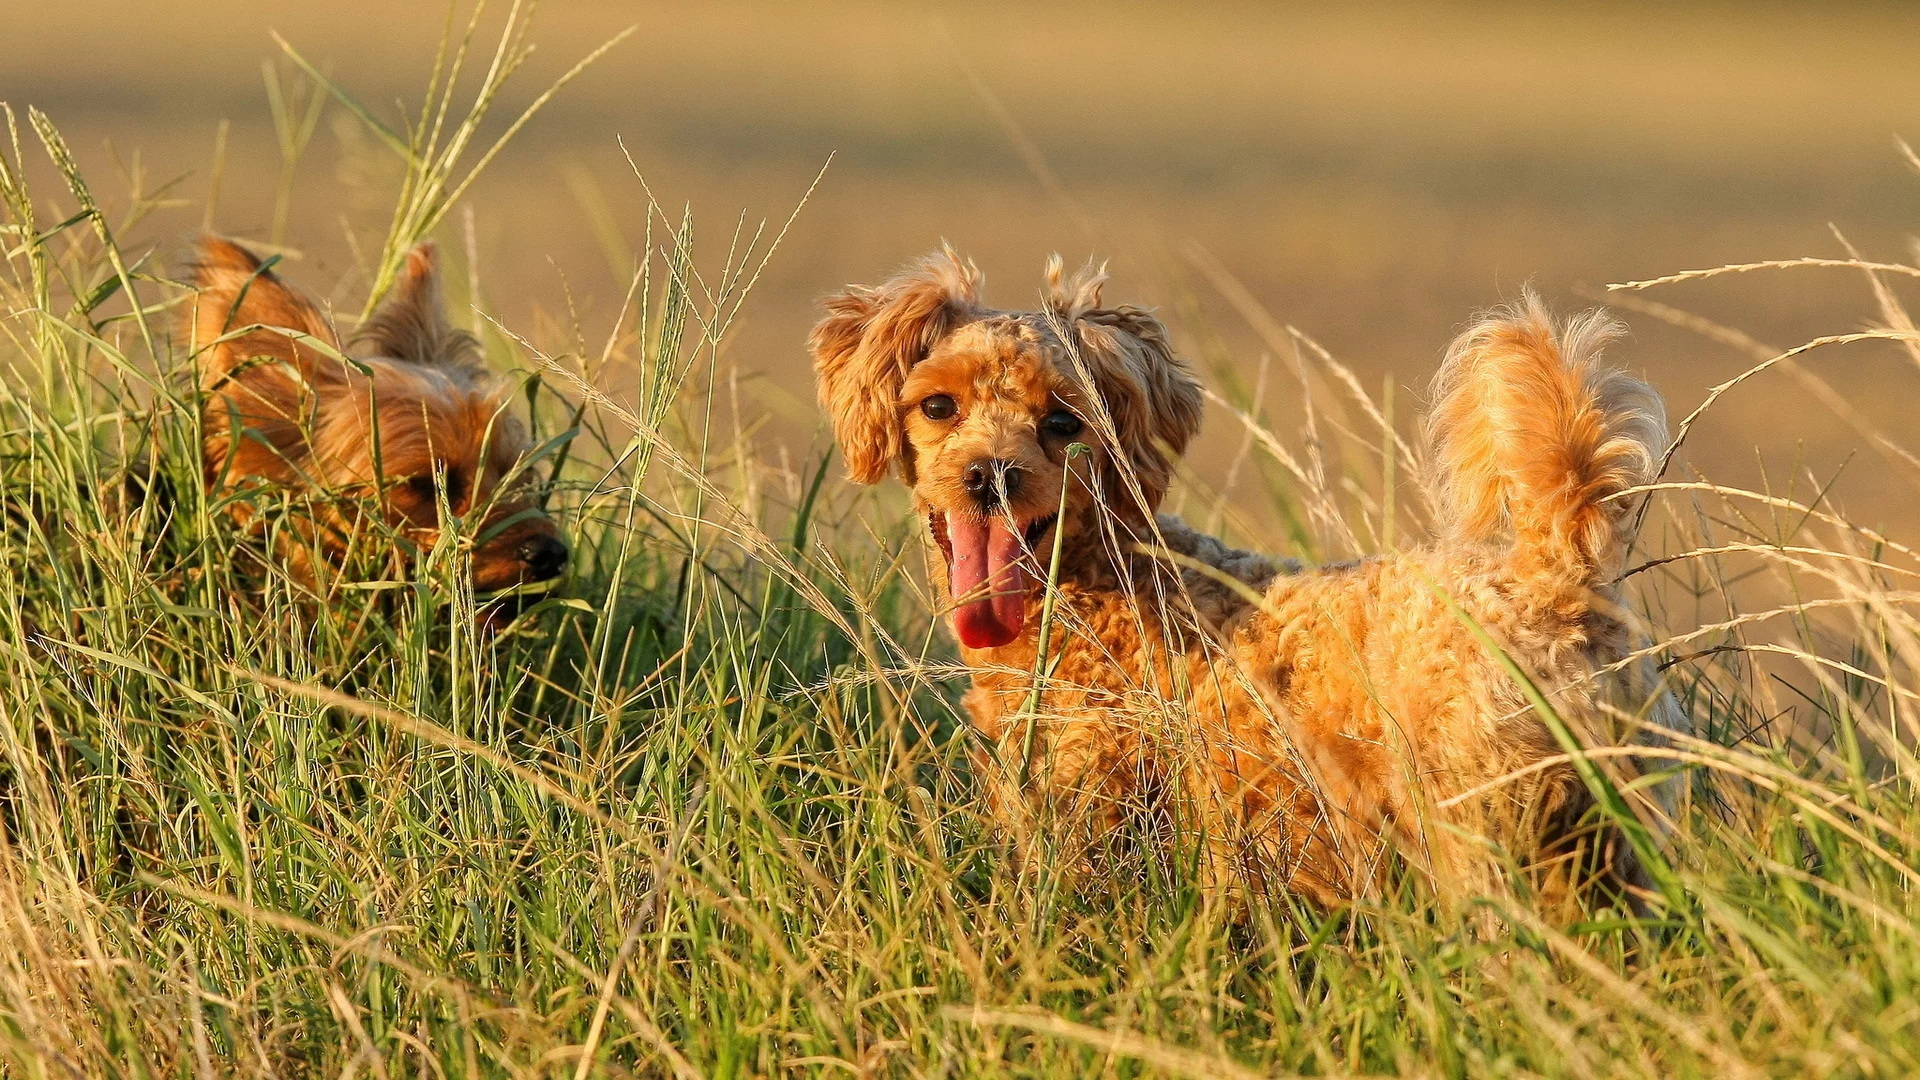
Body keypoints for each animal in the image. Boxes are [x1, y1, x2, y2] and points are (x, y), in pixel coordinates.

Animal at [810, 247, 1681, 903]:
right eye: (939, 407)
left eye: (1062, 421)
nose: (990, 475)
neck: (1103, 585)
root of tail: (1555, 570)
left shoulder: (1097, 799)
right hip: (1617, 837)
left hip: (1480, 821)